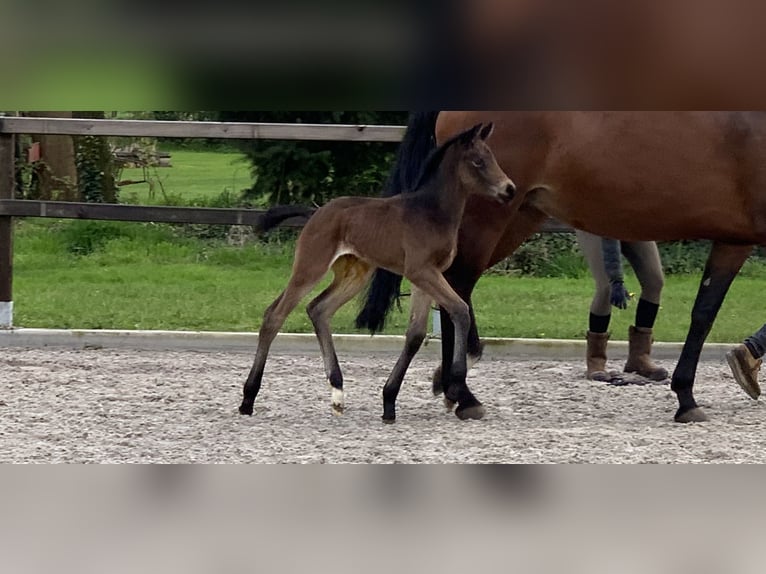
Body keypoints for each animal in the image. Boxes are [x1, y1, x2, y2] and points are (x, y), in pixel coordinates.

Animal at [360, 111, 766, 424]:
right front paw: (690, 396)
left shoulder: (733, 240)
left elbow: (703, 314)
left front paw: (697, 390)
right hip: (487, 218)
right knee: (456, 289)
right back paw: (462, 394)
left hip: (517, 215)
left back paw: (450, 384)